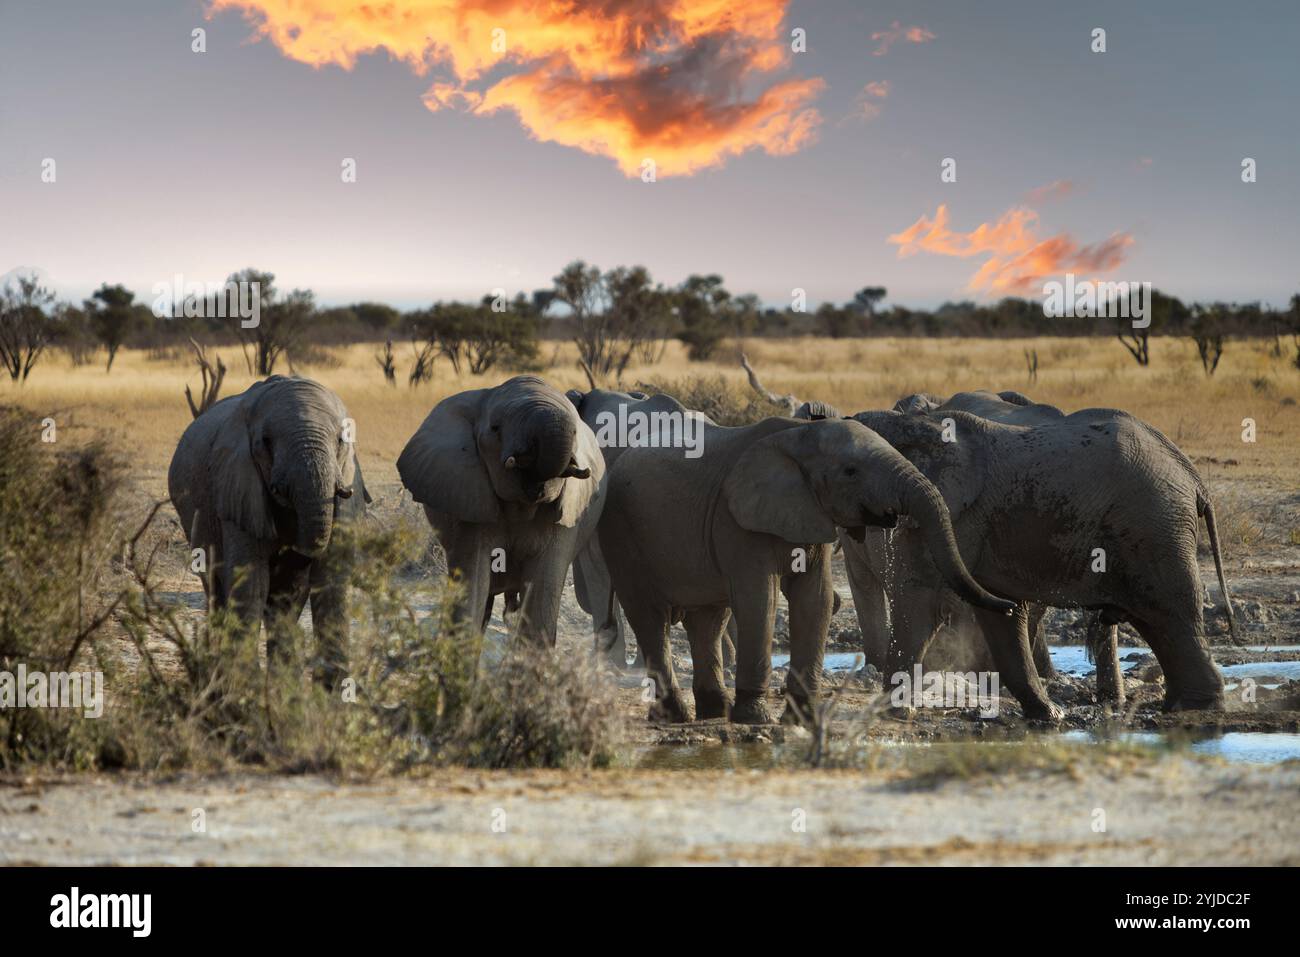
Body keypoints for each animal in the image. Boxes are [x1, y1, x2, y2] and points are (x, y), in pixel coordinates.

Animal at [167, 374, 369, 686]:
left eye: (340, 440)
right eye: (266, 442)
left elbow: (330, 577)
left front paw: (333, 689)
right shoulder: (236, 486)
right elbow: (251, 580)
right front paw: (245, 688)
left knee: (285, 598)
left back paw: (281, 684)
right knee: (215, 584)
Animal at [395, 371, 603, 642]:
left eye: (577, 432)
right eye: (495, 428)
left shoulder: (566, 515)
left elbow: (542, 596)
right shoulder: (471, 500)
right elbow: (473, 581)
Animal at [598, 416, 1013, 722]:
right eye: (850, 471)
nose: (1009, 607)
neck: (798, 434)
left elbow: (815, 599)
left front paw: (802, 719)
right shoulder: (736, 520)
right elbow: (759, 599)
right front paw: (756, 719)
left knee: (708, 620)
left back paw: (714, 712)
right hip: (621, 531)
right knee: (651, 618)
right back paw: (679, 716)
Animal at [847, 405, 1232, 717]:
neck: (916, 424)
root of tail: (1193, 476)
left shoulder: (959, 515)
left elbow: (921, 599)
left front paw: (893, 713)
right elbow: (997, 612)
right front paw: (1049, 716)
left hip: (1154, 526)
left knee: (1169, 612)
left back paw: (1193, 707)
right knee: (1158, 622)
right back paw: (1180, 704)